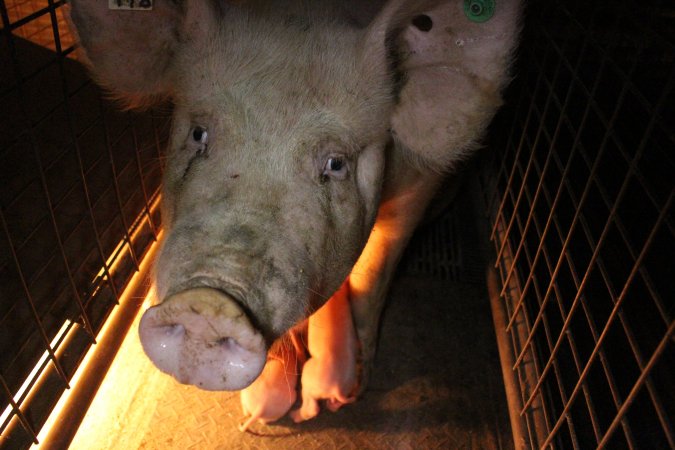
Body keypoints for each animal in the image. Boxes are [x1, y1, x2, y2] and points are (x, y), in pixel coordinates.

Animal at [67, 0, 524, 422]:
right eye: (198, 134)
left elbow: (376, 272)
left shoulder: (421, 185)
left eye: (336, 164)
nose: (209, 303)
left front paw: (360, 384)